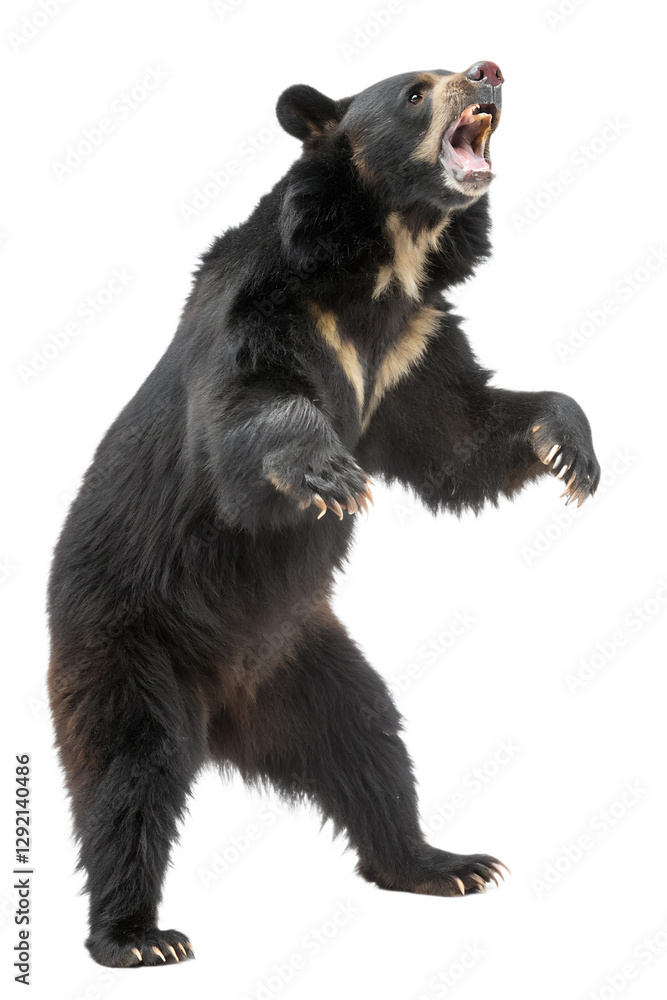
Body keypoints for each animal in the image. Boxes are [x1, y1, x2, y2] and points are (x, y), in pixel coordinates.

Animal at [47, 60, 600, 968]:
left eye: (462, 69)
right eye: (415, 89)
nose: (488, 72)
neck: (383, 265)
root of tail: (223, 713)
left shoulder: (411, 349)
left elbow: (461, 435)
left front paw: (570, 451)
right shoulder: (270, 310)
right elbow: (250, 412)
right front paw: (329, 474)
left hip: (308, 665)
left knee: (369, 748)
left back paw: (442, 862)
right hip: (126, 643)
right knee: (130, 773)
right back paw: (135, 936)